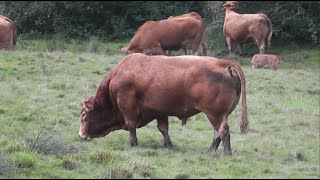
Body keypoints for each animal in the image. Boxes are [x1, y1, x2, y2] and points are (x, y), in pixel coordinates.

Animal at [79, 52, 249, 155]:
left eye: (84, 115)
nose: (80, 135)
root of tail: (223, 64)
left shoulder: (128, 108)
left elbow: (131, 126)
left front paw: (133, 143)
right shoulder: (159, 112)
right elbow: (163, 129)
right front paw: (168, 144)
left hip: (215, 114)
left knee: (223, 131)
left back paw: (226, 152)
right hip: (219, 115)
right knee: (217, 133)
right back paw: (210, 151)